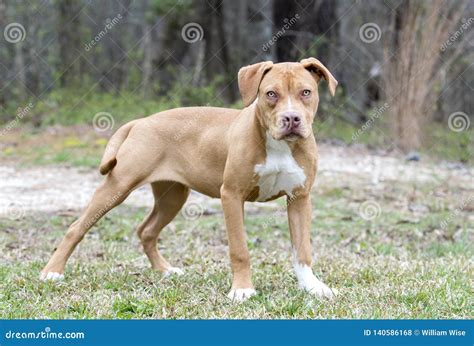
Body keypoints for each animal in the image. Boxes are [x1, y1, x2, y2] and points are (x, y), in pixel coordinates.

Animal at [40, 58, 336, 302]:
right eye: (270, 94)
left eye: (306, 92)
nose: (292, 118)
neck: (278, 145)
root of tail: (142, 121)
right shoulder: (232, 195)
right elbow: (239, 249)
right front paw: (242, 290)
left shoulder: (300, 198)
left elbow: (303, 249)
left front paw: (312, 286)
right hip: (118, 185)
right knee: (77, 227)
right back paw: (52, 272)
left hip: (172, 196)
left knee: (147, 230)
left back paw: (165, 270)